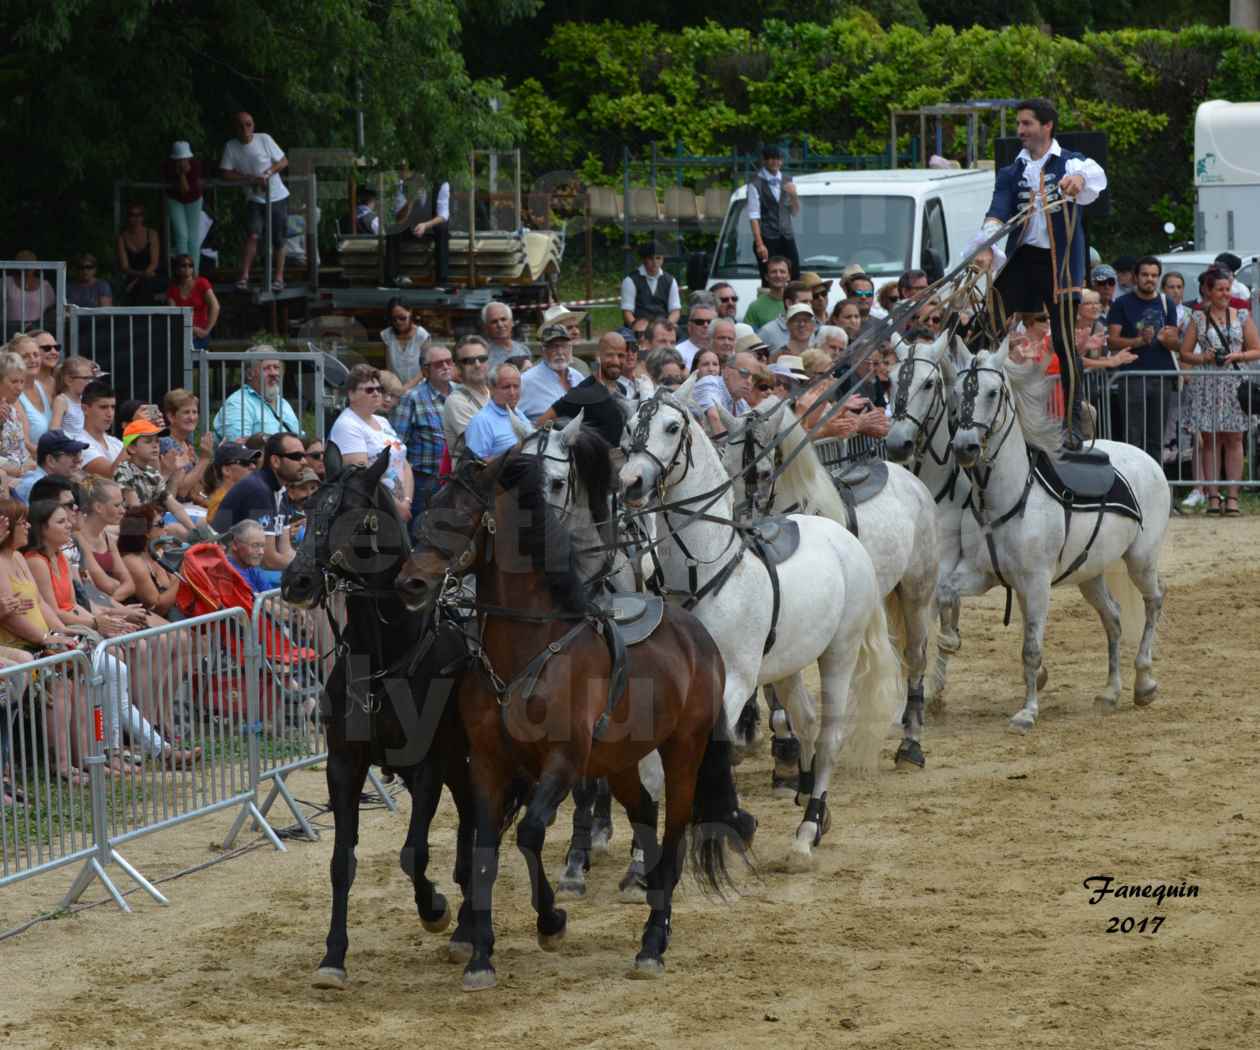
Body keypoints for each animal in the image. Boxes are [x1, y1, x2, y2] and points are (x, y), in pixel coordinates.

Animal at [280, 446, 481, 988]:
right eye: (307, 511)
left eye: (358, 519)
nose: (297, 580)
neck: (385, 657)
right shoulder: (344, 765)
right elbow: (340, 863)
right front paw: (333, 956)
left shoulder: (430, 763)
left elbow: (414, 853)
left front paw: (435, 909)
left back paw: (464, 925)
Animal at [395, 448, 745, 983]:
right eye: (429, 511)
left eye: (460, 516)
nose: (410, 583)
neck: (528, 647)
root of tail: (697, 635)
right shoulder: (489, 765)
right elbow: (484, 851)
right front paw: (480, 956)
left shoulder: (563, 761)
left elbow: (530, 834)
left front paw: (551, 922)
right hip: (619, 761)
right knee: (645, 812)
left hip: (684, 749)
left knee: (675, 831)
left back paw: (653, 943)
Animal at [617, 393, 897, 867]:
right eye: (629, 425)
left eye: (671, 427)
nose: (630, 482)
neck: (700, 573)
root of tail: (843, 537)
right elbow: (652, 766)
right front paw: (640, 857)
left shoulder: (734, 681)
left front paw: (733, 823)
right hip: (787, 665)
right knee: (805, 720)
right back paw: (807, 800)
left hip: (838, 654)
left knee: (829, 736)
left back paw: (807, 830)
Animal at [715, 395, 942, 771]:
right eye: (727, 467)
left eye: (763, 473)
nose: (741, 529)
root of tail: (909, 478)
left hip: (917, 592)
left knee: (915, 657)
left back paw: (911, 744)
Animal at [942, 342, 1164, 731]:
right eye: (955, 392)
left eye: (993, 392)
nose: (964, 447)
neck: (1008, 496)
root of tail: (1145, 457)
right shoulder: (981, 574)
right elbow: (944, 593)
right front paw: (948, 639)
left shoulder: (1036, 583)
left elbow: (1031, 649)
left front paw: (1027, 712)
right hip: (1090, 573)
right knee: (1114, 618)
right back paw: (1110, 692)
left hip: (1141, 560)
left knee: (1153, 603)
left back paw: (1144, 682)